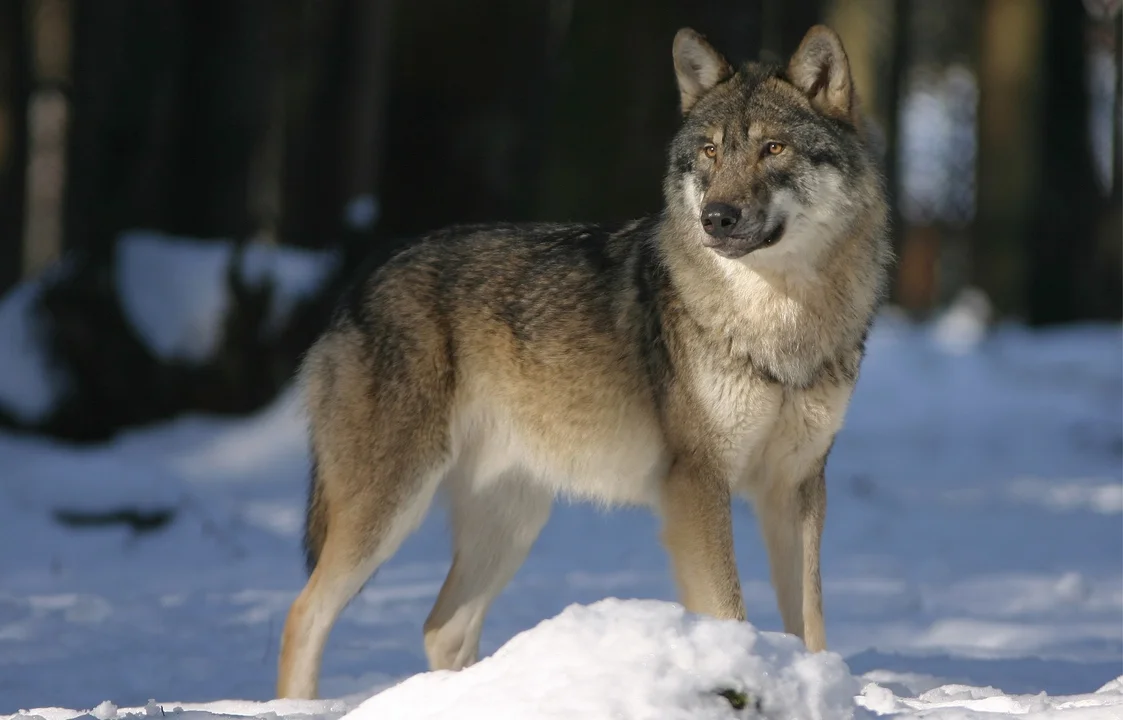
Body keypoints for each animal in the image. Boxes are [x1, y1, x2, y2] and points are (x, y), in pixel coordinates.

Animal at [276, 23, 889, 696]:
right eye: (708, 152)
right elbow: (729, 610)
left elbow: (810, 623)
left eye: (773, 148)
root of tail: (360, 281)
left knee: (442, 627)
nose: (716, 218)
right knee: (304, 612)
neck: (778, 323)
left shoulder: (797, 487)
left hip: (512, 522)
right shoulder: (698, 484)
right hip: (390, 507)